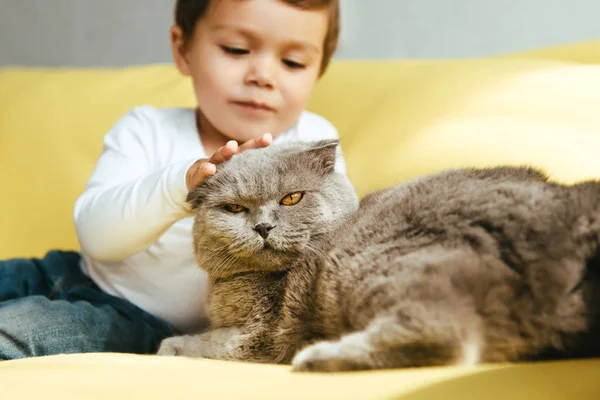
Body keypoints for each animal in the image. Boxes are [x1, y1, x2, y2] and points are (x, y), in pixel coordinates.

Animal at [157, 140, 600, 372]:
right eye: (234, 209)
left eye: (292, 198)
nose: (263, 227)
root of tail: (569, 209)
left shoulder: (258, 334)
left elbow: (202, 343)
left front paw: (169, 346)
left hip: (369, 264)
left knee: (444, 338)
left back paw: (316, 355)